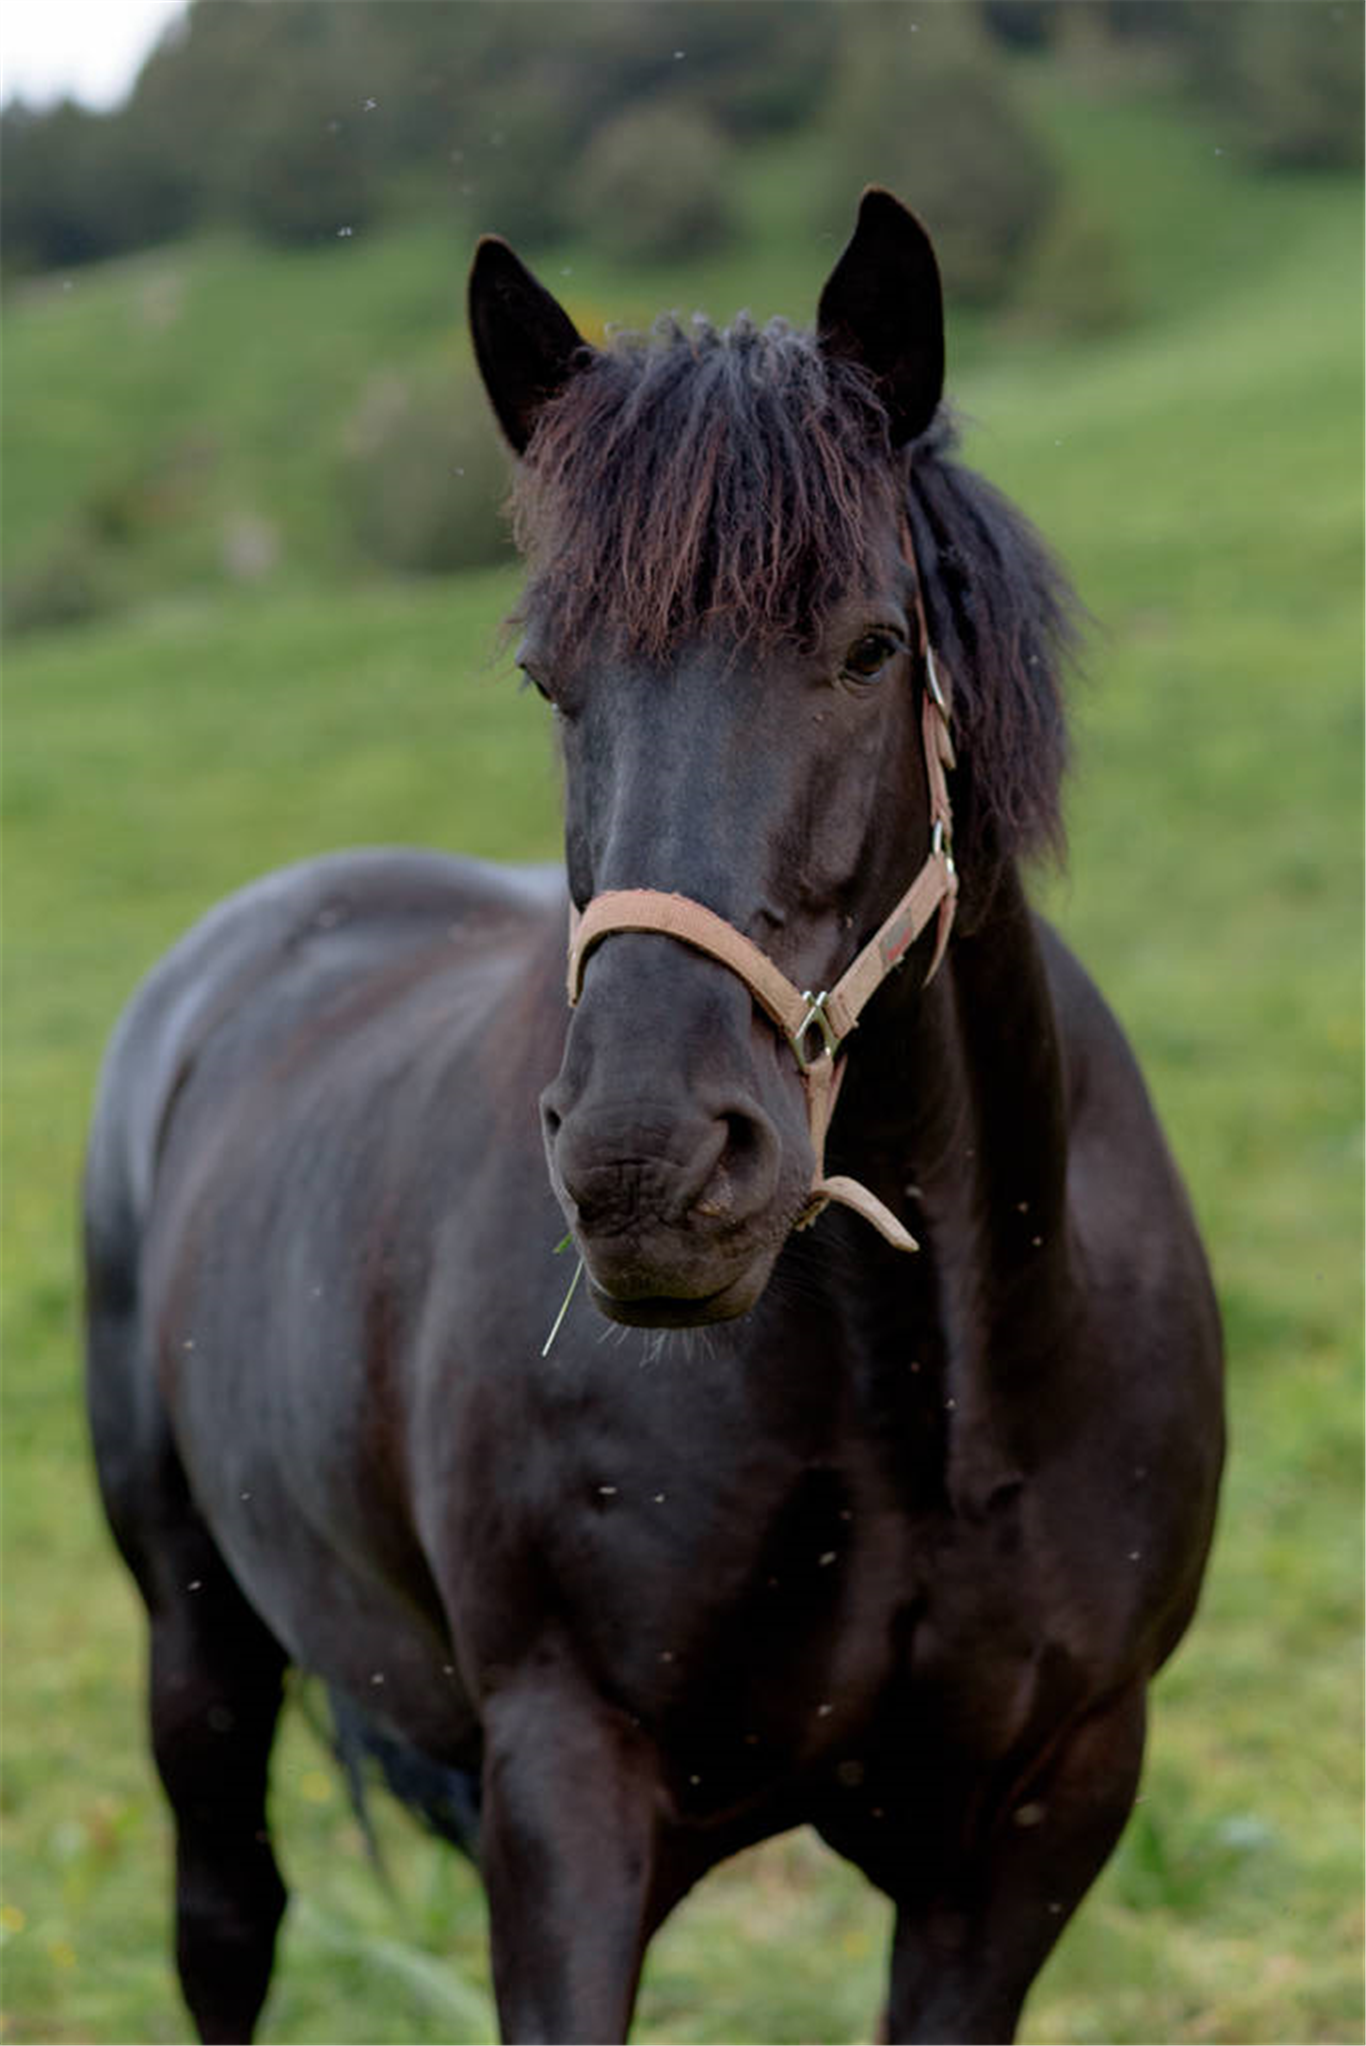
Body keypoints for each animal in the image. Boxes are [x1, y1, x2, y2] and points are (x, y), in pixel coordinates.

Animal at [85, 195, 1218, 2046]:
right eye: (551, 678)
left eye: (870, 646)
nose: (648, 1168)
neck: (925, 1392)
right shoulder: (572, 1791)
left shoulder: (1037, 1820)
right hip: (196, 1642)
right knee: (227, 1919)